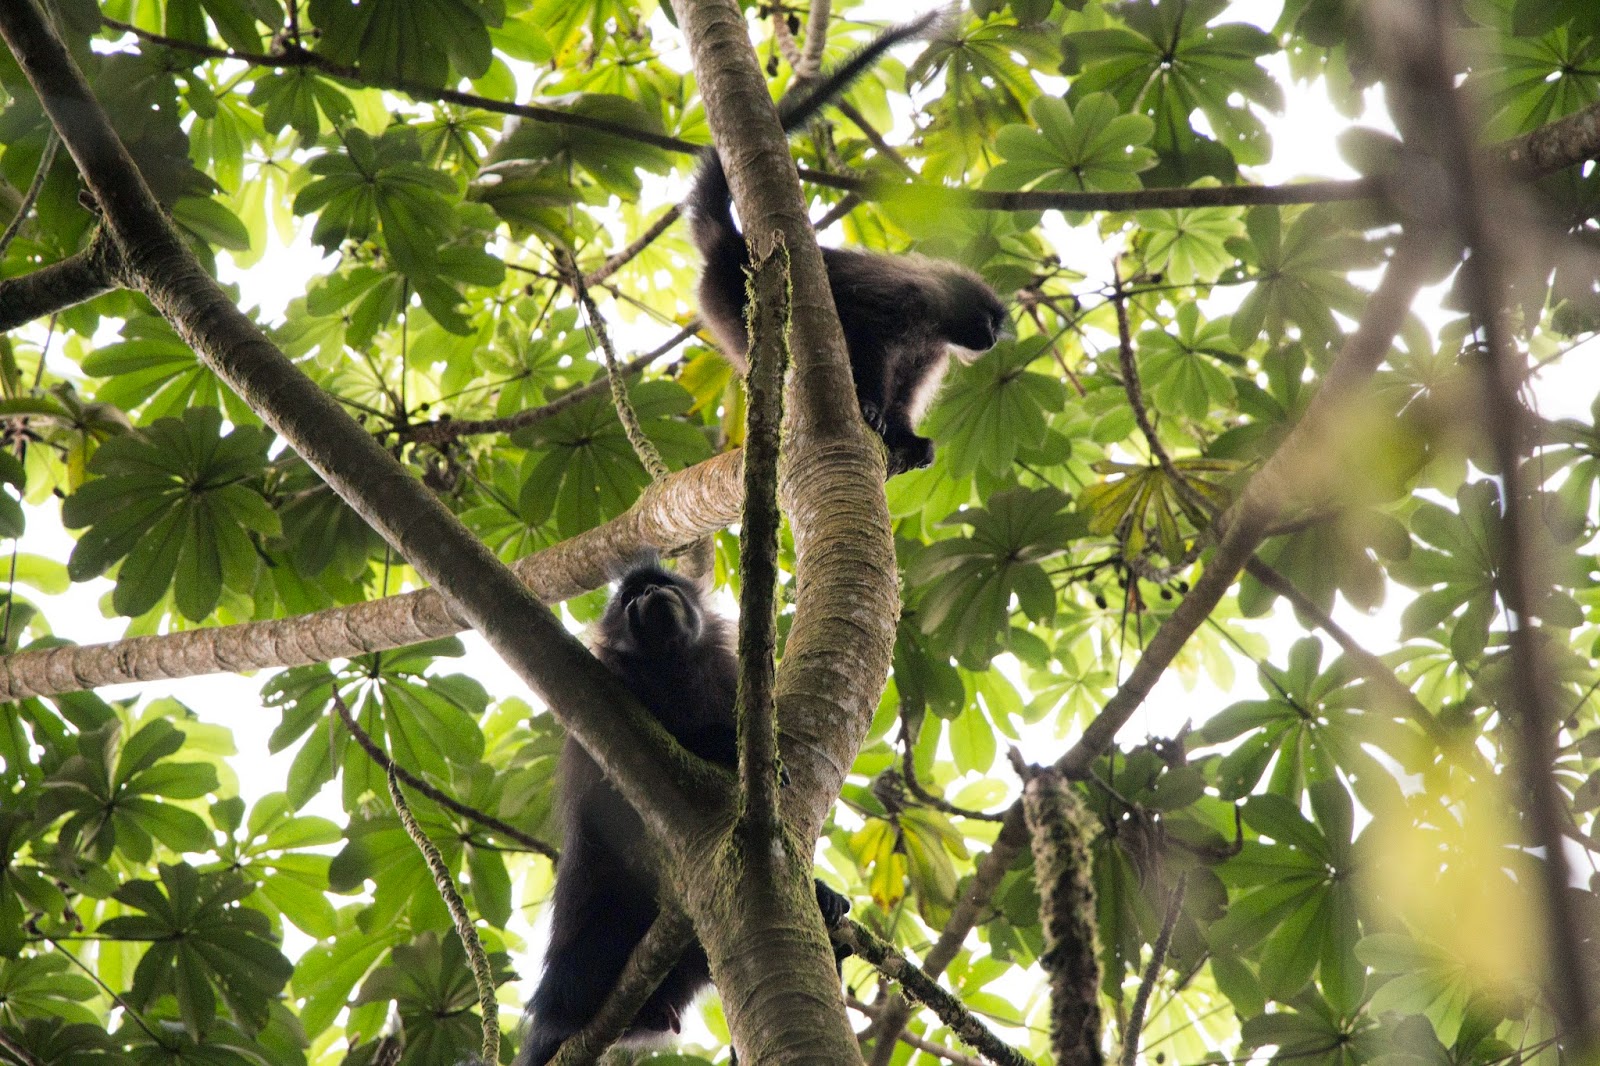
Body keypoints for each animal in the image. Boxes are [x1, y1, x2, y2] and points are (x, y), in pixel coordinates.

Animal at [515, 564, 851, 1066]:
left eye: (661, 585)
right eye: (631, 596)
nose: (651, 591)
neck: (671, 666)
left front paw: (823, 893)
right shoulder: (615, 691)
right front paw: (724, 745)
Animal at [686, 12, 1011, 477]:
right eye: (987, 321)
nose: (991, 341)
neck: (932, 321)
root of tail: (729, 241)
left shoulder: (928, 351)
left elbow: (903, 393)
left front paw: (904, 438)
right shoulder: (902, 300)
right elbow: (861, 333)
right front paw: (870, 409)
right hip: (727, 295)